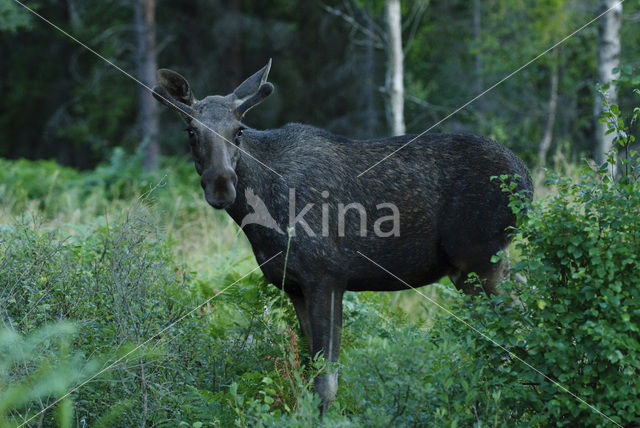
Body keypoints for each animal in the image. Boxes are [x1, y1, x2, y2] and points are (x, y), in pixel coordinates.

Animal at [152, 59, 532, 412]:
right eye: (191, 131)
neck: (259, 223)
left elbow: (325, 383)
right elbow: (306, 375)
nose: (221, 185)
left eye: (238, 131)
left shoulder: (327, 277)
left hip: (481, 260)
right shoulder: (294, 285)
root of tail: (527, 183)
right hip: (475, 269)